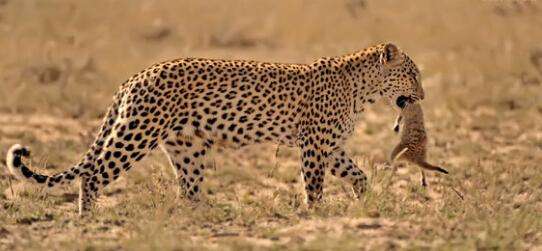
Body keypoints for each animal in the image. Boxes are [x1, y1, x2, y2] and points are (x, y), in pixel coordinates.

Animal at [6, 42, 428, 215]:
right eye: (412, 73)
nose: (422, 95)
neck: (364, 90)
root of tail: (137, 75)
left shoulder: (332, 146)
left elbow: (357, 174)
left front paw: (365, 199)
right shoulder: (314, 145)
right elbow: (314, 185)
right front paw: (316, 213)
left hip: (187, 147)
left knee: (188, 190)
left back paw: (205, 214)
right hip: (138, 132)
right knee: (93, 173)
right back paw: (88, 218)